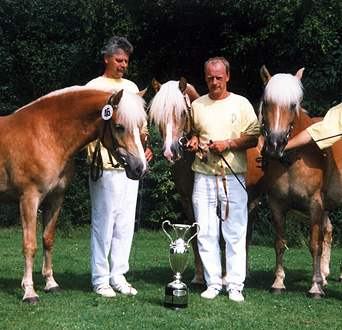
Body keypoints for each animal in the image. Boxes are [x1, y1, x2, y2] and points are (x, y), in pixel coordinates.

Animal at [1, 85, 148, 304]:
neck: (47, 134)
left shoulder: (55, 198)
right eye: (119, 126)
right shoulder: (28, 199)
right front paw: (29, 292)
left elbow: (48, 239)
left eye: (140, 126)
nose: (140, 168)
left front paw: (51, 284)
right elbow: (30, 245)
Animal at [148, 78, 264, 286]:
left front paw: (224, 277)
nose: (170, 152)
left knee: (246, 234)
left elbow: (224, 239)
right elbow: (195, 237)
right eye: (157, 116)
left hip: (253, 201)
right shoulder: (188, 200)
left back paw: (245, 273)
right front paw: (199, 276)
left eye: (182, 113)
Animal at [258, 65, 332, 298]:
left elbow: (314, 245)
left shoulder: (315, 205)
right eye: (267, 102)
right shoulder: (277, 204)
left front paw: (315, 287)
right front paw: (278, 283)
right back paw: (325, 275)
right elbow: (280, 243)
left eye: (292, 104)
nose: (275, 144)